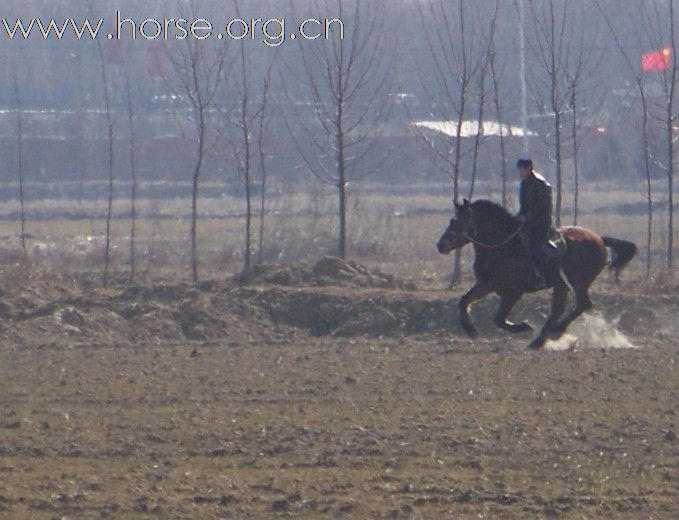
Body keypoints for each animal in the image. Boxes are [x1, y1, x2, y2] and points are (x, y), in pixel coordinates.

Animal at [436, 199, 636, 350]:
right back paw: (542, 338)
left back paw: (552, 334)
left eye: (458, 221)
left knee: (582, 305)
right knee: (560, 309)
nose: (440, 245)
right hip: (562, 285)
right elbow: (464, 301)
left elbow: (499, 319)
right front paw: (471, 330)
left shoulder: (513, 292)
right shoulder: (485, 285)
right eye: (452, 220)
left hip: (578, 283)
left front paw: (524, 326)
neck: (502, 246)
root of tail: (599, 239)